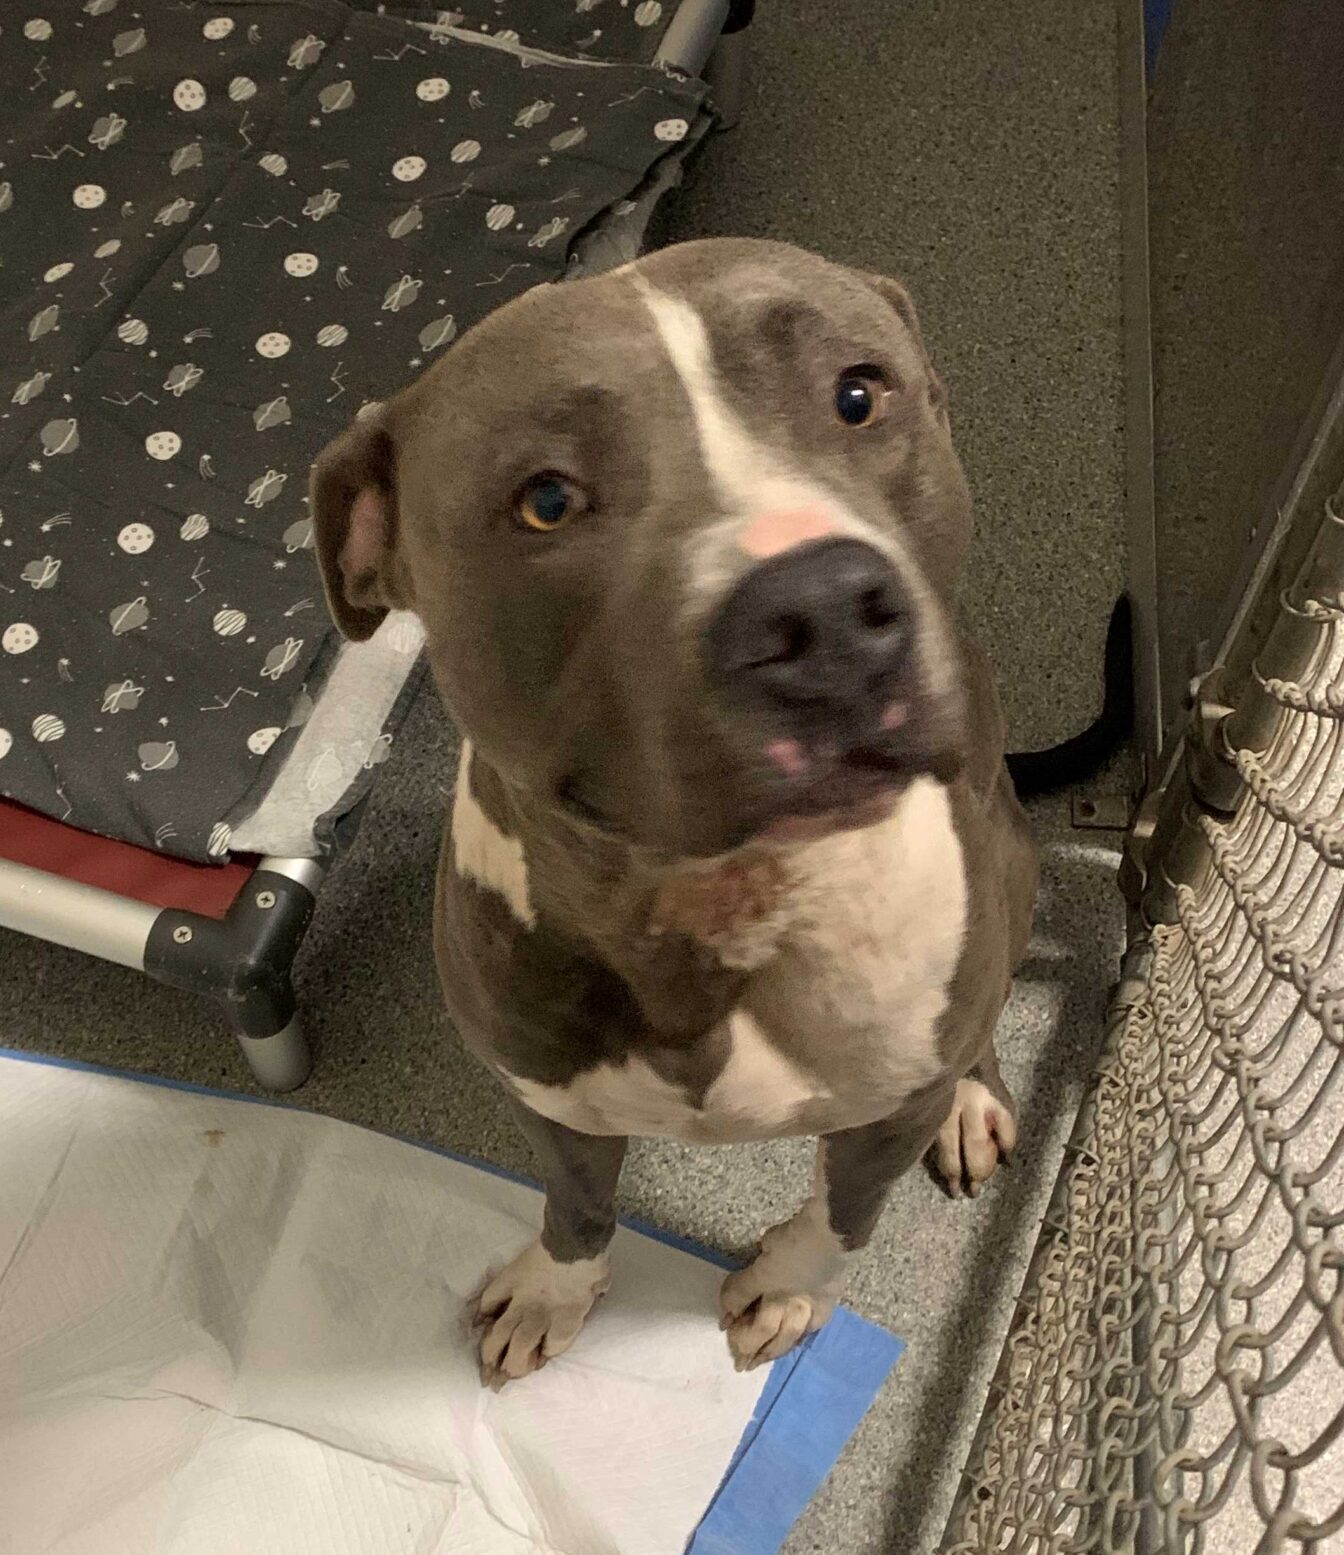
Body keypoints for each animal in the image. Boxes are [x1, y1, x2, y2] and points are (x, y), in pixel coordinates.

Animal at [312, 238, 1124, 1387]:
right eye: (546, 499)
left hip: (1005, 870)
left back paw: (975, 1098)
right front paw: (556, 1290)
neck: (712, 919)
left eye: (858, 394)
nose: (823, 610)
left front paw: (786, 1289)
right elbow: (577, 1207)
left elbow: (842, 1218)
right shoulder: (551, 1103)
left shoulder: (884, 1111)